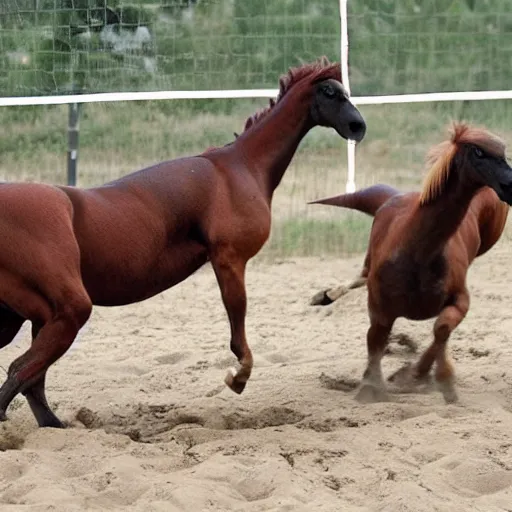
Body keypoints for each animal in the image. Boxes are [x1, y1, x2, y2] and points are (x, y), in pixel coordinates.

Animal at [1, 57, 368, 428]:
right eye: (329, 91)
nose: (358, 126)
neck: (240, 167)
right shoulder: (230, 259)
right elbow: (238, 319)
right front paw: (238, 377)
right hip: (66, 312)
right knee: (21, 371)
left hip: (28, 318)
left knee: (30, 380)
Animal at [308, 123, 512, 404]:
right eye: (479, 152)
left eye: (504, 154)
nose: (511, 185)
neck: (419, 253)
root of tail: (394, 196)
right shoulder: (380, 309)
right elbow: (375, 340)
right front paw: (370, 387)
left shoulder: (460, 300)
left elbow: (442, 329)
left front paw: (427, 378)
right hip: (370, 258)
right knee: (363, 272)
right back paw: (325, 295)